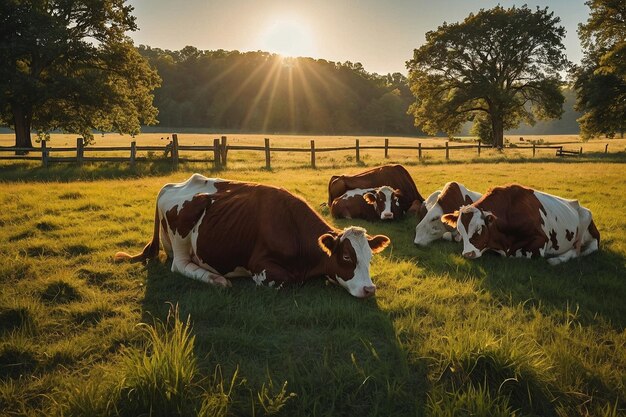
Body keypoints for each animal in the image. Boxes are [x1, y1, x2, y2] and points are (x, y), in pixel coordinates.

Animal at [116, 174, 390, 298]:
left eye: (370, 258)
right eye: (346, 257)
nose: (369, 289)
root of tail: (172, 185)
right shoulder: (262, 266)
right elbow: (285, 281)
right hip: (182, 234)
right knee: (180, 265)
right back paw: (216, 279)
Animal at [438, 182, 600, 264]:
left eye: (479, 229)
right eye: (460, 230)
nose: (468, 254)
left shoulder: (541, 240)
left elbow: (523, 254)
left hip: (586, 220)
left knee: (580, 250)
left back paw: (557, 259)